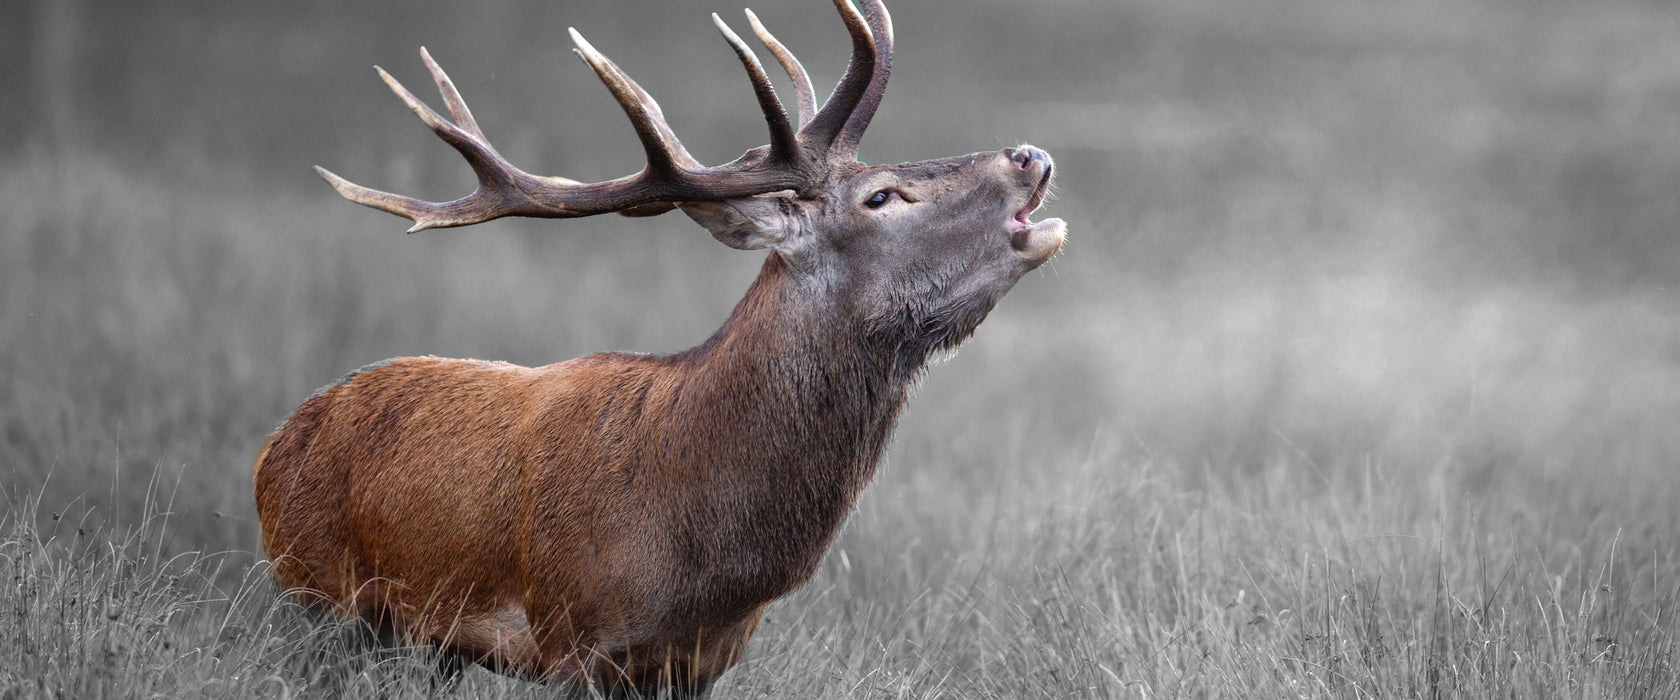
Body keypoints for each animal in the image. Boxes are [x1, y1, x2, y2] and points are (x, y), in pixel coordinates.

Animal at [253, 0, 1055, 691]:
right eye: (882, 196)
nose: (1027, 154)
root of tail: (275, 445)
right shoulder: (569, 633)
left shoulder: (703, 662)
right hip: (317, 593)